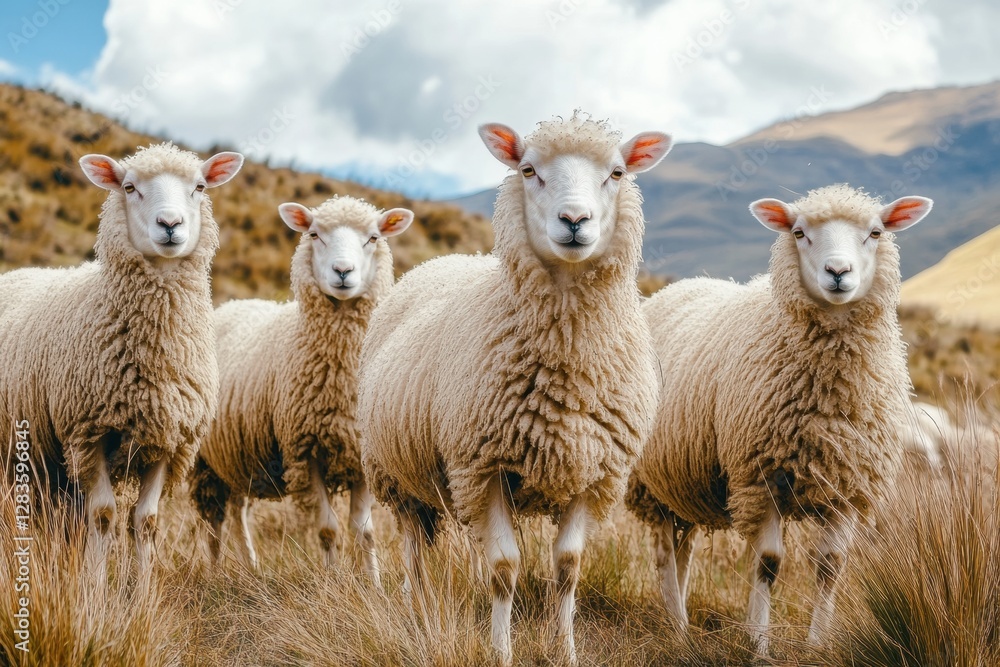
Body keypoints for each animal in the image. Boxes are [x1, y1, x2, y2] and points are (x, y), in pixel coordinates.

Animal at [0, 143, 243, 586]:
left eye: (199, 187)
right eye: (129, 187)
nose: (170, 224)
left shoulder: (168, 438)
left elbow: (145, 521)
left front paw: (142, 592)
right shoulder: (88, 433)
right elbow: (102, 515)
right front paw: (94, 589)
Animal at [191, 196, 414, 581]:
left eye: (373, 237)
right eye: (314, 234)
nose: (343, 271)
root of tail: (232, 304)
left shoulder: (359, 452)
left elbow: (364, 531)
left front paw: (373, 583)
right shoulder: (304, 452)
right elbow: (327, 530)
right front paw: (332, 581)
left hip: (236, 455)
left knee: (236, 512)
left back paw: (250, 565)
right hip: (206, 462)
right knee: (213, 521)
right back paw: (215, 571)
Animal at [358, 113, 672, 665]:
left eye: (616, 172)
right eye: (529, 170)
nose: (574, 220)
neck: (566, 376)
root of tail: (446, 259)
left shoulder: (594, 472)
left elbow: (568, 569)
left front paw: (565, 651)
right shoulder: (484, 466)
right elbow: (504, 570)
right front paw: (501, 651)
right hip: (399, 474)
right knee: (414, 548)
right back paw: (416, 607)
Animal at [627, 185, 933, 653]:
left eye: (876, 232)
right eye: (799, 232)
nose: (838, 272)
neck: (828, 397)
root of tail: (679, 286)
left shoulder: (847, 485)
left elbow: (831, 565)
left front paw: (817, 646)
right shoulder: (760, 476)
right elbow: (768, 564)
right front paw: (757, 643)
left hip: (684, 477)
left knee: (685, 551)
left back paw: (682, 622)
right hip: (649, 481)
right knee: (663, 554)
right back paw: (677, 627)